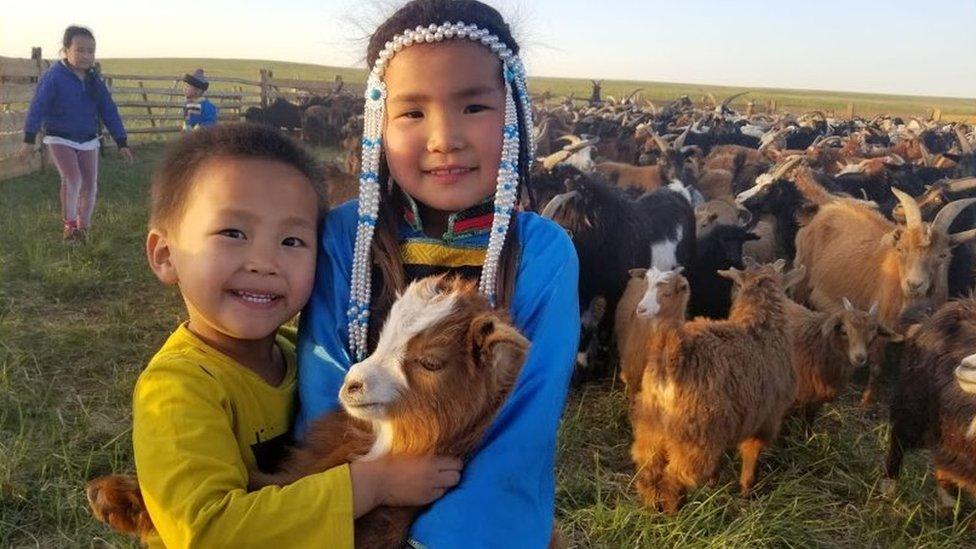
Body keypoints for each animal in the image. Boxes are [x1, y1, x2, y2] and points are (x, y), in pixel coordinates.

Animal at [624, 260, 800, 512]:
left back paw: (651, 507)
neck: (760, 324)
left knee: (648, 469)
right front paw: (746, 492)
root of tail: (672, 358)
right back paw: (674, 513)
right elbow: (750, 457)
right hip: (694, 436)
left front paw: (712, 485)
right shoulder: (766, 418)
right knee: (673, 478)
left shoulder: (726, 426)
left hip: (651, 425)